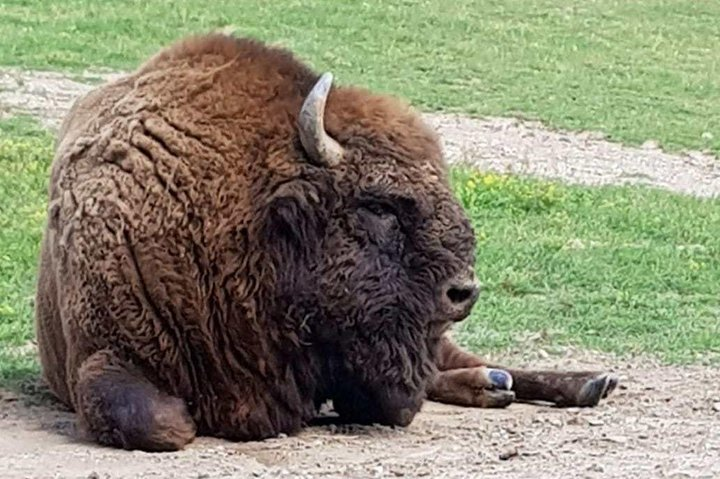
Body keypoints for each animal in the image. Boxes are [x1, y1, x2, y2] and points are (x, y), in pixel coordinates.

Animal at [35, 31, 620, 452]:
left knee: (463, 361)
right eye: (379, 205)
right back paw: (499, 385)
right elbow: (157, 422)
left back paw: (584, 382)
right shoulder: (102, 354)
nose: (463, 291)